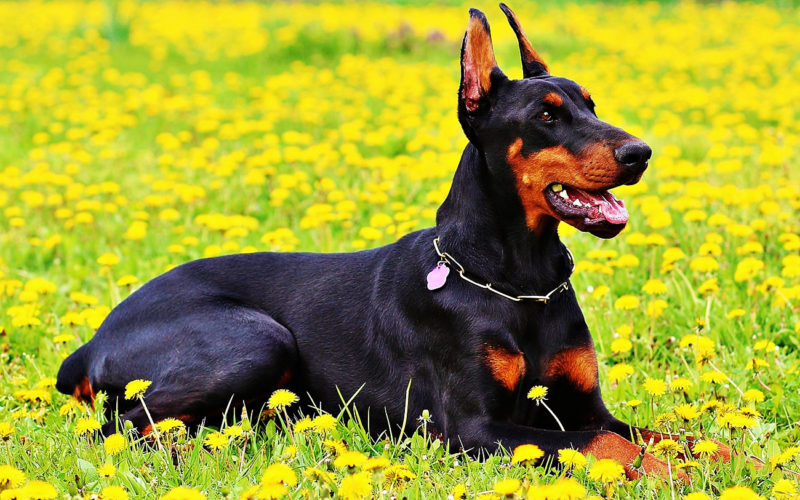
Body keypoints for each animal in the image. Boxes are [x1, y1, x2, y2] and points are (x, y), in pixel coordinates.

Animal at [59, 3, 728, 480]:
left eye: (591, 104)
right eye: (546, 116)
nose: (640, 153)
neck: (517, 281)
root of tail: (92, 340)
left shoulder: (583, 403)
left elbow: (671, 434)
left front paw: (725, 457)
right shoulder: (475, 429)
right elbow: (605, 443)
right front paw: (670, 473)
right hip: (255, 340)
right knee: (119, 426)